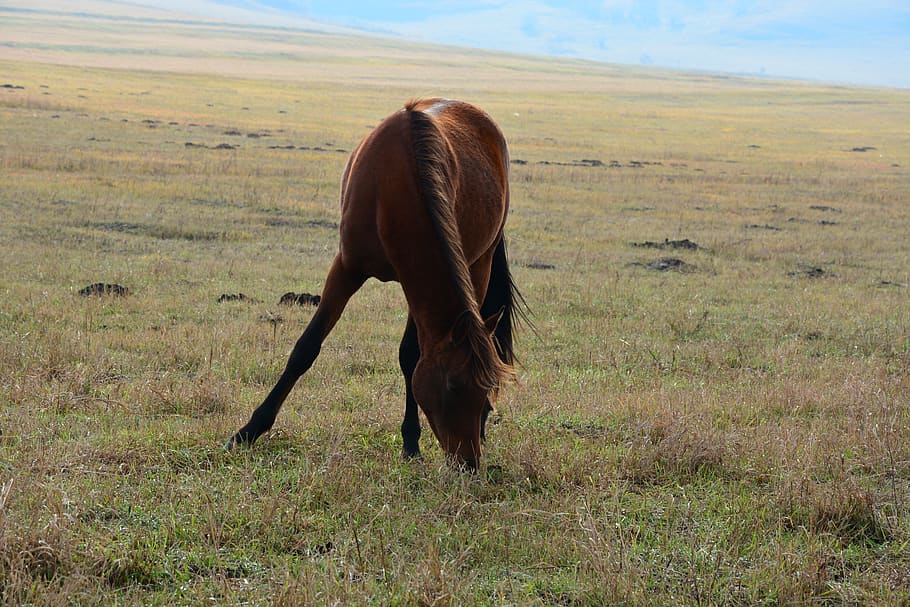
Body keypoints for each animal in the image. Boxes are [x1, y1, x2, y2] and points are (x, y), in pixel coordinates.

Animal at [227, 98, 524, 470]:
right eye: (453, 386)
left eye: (483, 388)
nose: (468, 464)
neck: (395, 187)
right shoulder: (346, 268)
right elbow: (305, 348)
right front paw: (248, 431)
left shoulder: (417, 281)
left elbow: (410, 356)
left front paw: (411, 442)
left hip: (479, 262)